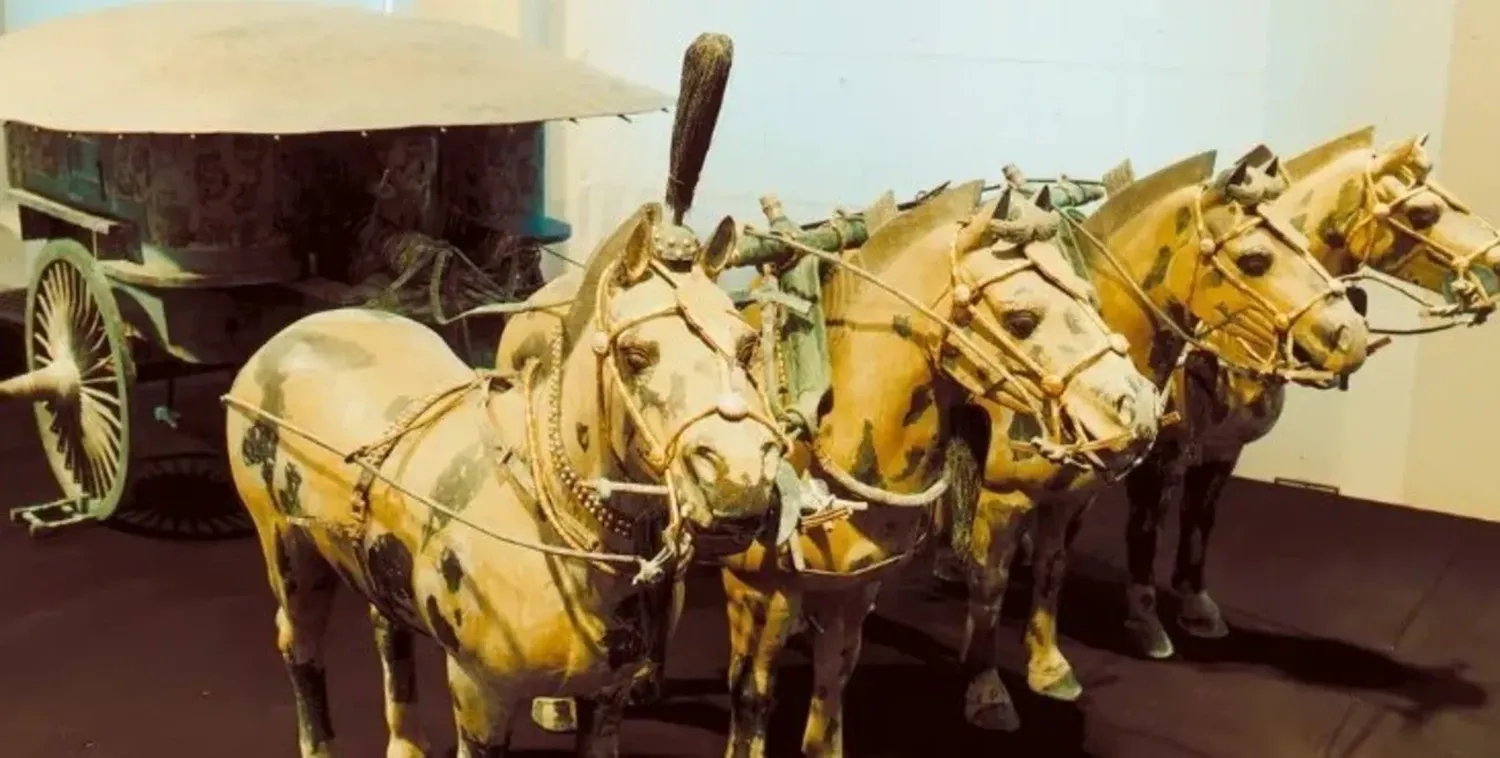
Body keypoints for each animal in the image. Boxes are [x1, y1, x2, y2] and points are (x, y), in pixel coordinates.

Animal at [223, 201, 792, 756]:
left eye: (747, 345)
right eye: (635, 354)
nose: (739, 478)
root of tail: (289, 335)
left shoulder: (607, 696)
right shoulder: (480, 693)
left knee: (387, 630)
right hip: (288, 549)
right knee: (298, 643)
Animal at [942, 144, 1374, 729]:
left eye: (1302, 238)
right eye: (1255, 260)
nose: (1351, 338)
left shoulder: (1117, 483)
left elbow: (1067, 565)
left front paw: (1053, 667)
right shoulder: (1005, 497)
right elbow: (993, 581)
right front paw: (986, 689)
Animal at [1128, 126, 1500, 660]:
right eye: (1422, 213)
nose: (1498, 263)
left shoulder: (1222, 451)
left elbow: (1200, 521)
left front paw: (1196, 606)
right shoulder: (1160, 457)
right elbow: (1144, 529)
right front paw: (1144, 621)